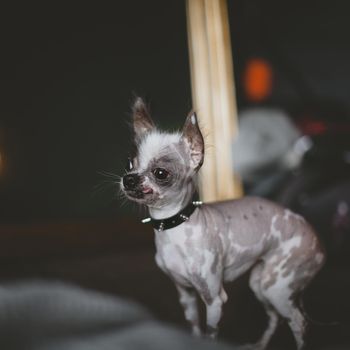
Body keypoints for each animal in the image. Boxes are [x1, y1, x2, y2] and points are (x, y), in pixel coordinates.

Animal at [121, 98, 326, 350]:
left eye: (161, 173)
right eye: (129, 164)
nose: (129, 179)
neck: (176, 228)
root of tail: (316, 238)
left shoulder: (214, 299)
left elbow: (210, 334)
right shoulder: (186, 294)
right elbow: (195, 329)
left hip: (277, 288)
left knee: (299, 322)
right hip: (261, 284)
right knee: (275, 317)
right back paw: (259, 345)